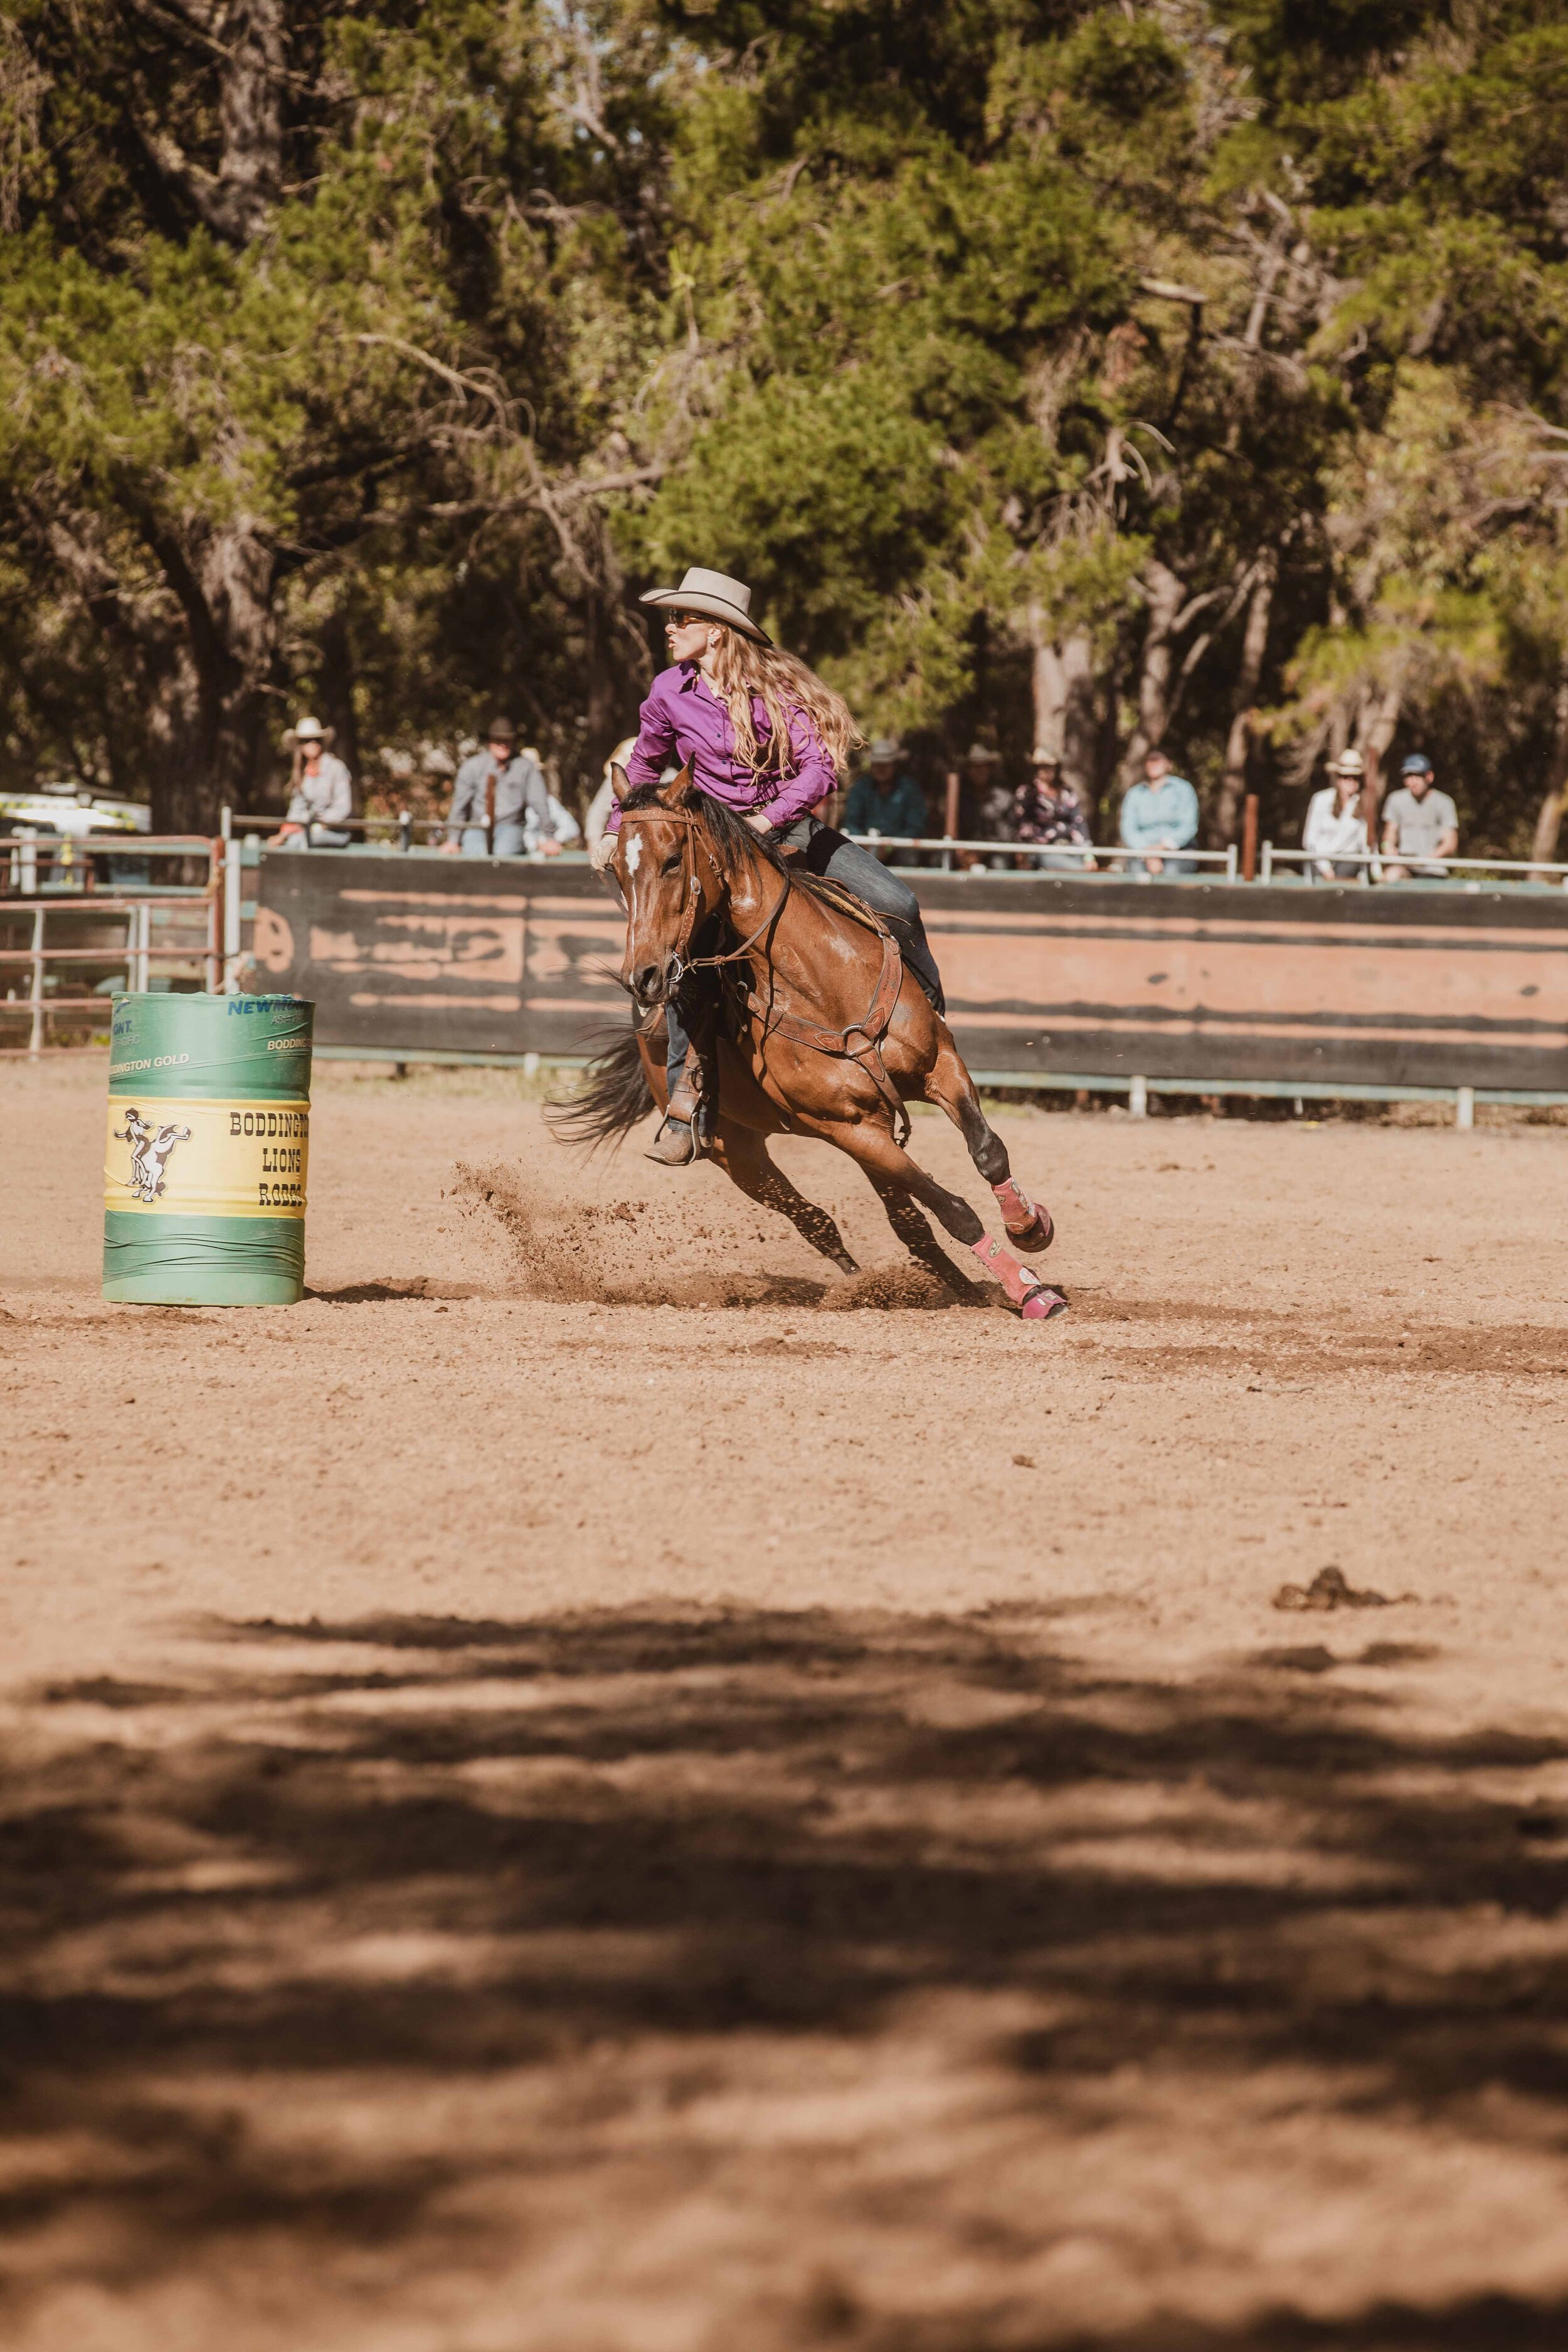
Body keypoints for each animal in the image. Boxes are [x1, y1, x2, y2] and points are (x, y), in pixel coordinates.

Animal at [554, 771, 1067, 1327]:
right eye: (617, 872)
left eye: (673, 860)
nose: (643, 976)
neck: (827, 985)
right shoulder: (849, 1128)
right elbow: (955, 1209)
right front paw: (1030, 1291)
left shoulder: (940, 1070)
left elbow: (989, 1154)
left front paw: (1030, 1228)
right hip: (743, 1154)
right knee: (821, 1221)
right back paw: (869, 1284)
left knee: (909, 1226)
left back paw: (961, 1290)